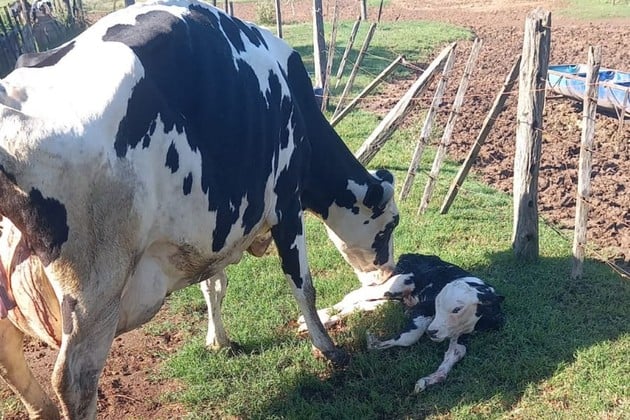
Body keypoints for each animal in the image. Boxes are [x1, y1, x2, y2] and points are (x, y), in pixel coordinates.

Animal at [0, 0, 399, 418]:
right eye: (391, 225)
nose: (389, 272)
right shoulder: (286, 204)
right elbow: (303, 285)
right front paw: (328, 349)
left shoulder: (211, 228)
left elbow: (213, 284)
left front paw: (218, 339)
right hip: (96, 288)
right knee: (74, 381)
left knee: (11, 360)